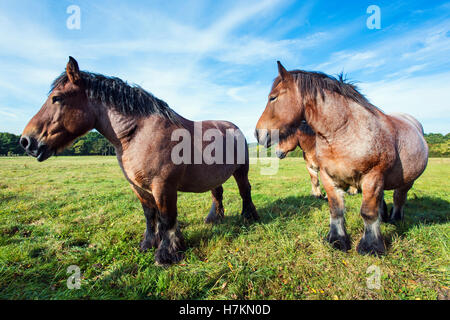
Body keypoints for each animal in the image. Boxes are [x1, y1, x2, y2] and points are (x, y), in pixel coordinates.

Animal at [21, 57, 258, 264]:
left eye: (57, 98)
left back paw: (249, 217)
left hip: (240, 170)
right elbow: (150, 215)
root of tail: (233, 127)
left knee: (245, 190)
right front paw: (148, 244)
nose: (26, 141)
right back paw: (213, 219)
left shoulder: (163, 186)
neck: (137, 134)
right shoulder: (139, 187)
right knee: (217, 192)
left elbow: (167, 218)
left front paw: (166, 254)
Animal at [255, 60, 428, 255]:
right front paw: (337, 240)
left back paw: (395, 218)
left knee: (399, 197)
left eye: (273, 98)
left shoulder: (372, 177)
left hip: (406, 180)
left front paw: (371, 246)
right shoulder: (328, 176)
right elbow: (336, 209)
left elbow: (368, 212)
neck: (344, 132)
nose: (257, 134)